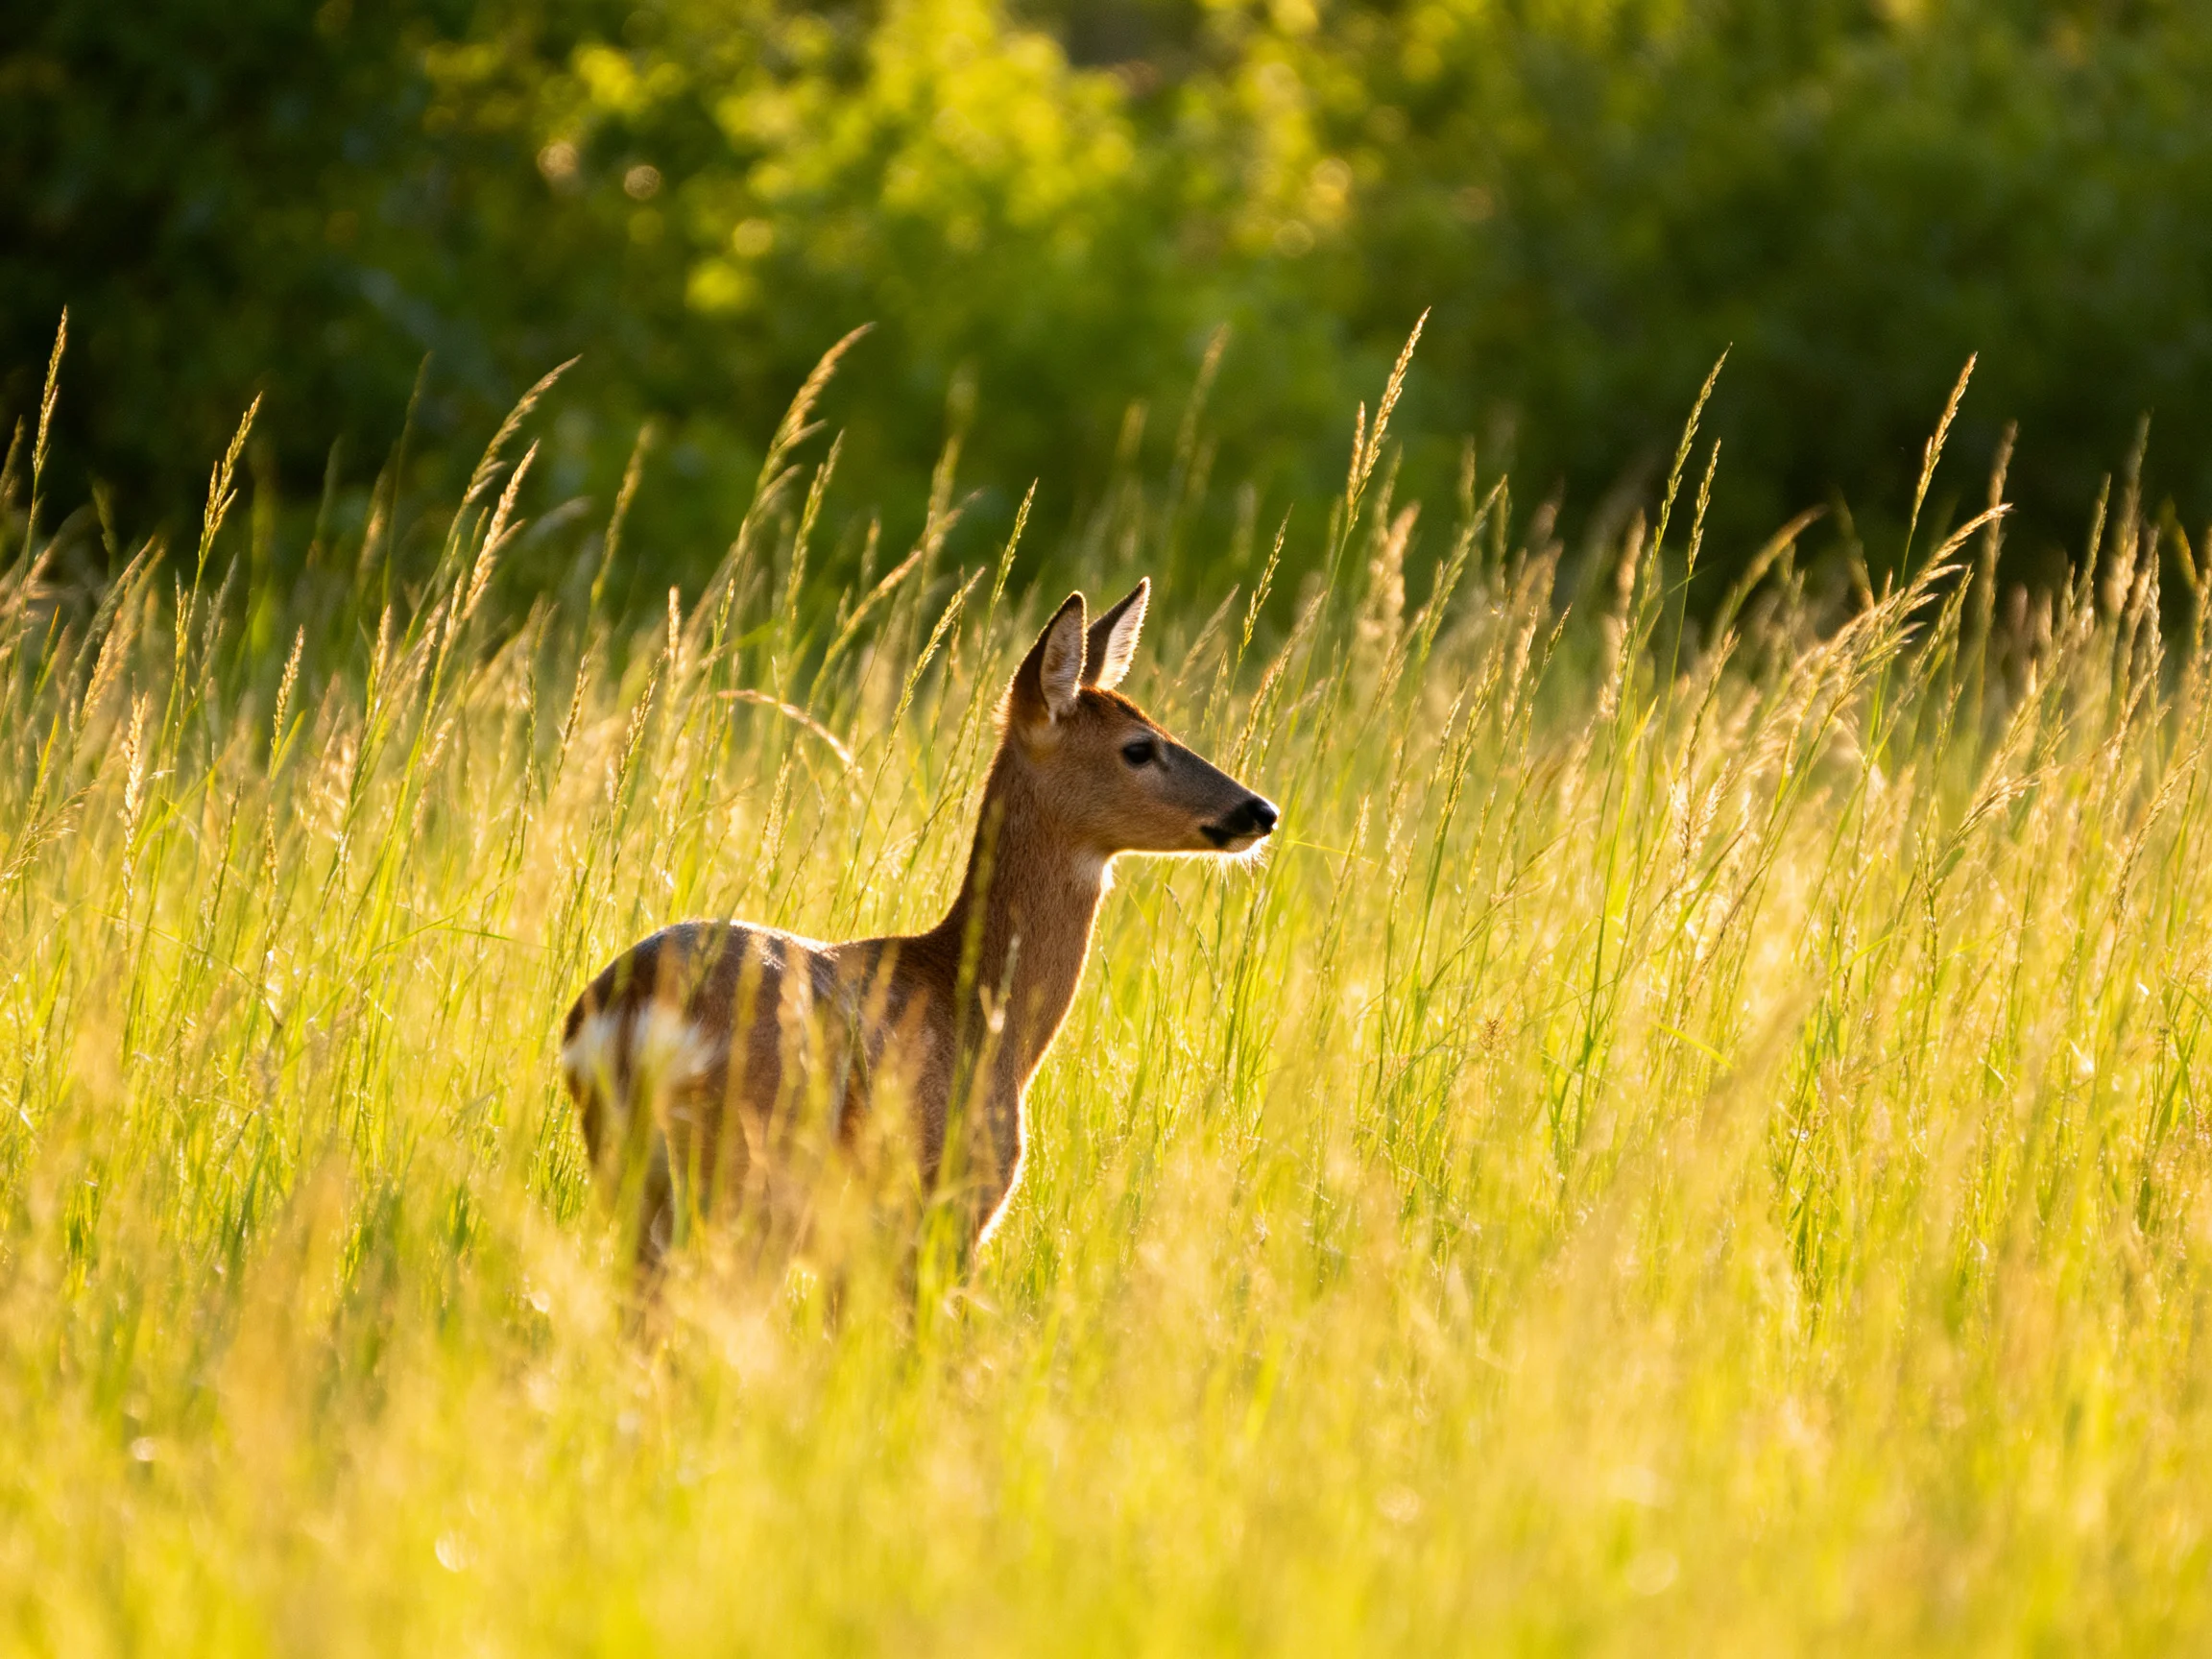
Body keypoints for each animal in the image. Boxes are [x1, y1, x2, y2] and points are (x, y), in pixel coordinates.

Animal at [559, 579, 1278, 1274]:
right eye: (1139, 748)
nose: (1260, 810)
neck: (989, 1015)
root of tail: (634, 1013)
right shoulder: (946, 1216)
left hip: (635, 1181)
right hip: (750, 1184)